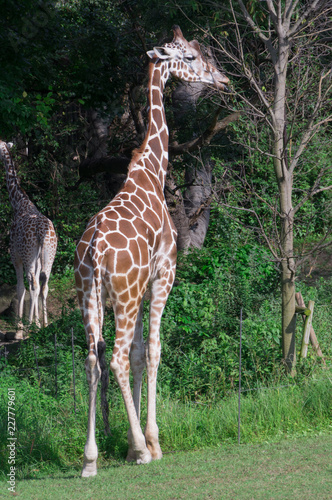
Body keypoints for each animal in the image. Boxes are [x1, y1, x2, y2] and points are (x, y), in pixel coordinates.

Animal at [0, 140, 57, 340]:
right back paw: (45, 325)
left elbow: (20, 288)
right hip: (49, 255)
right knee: (44, 283)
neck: (19, 203)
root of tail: (42, 231)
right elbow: (38, 288)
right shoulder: (37, 258)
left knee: (32, 283)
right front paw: (36, 322)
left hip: (27, 255)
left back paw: (31, 327)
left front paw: (20, 328)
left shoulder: (15, 256)